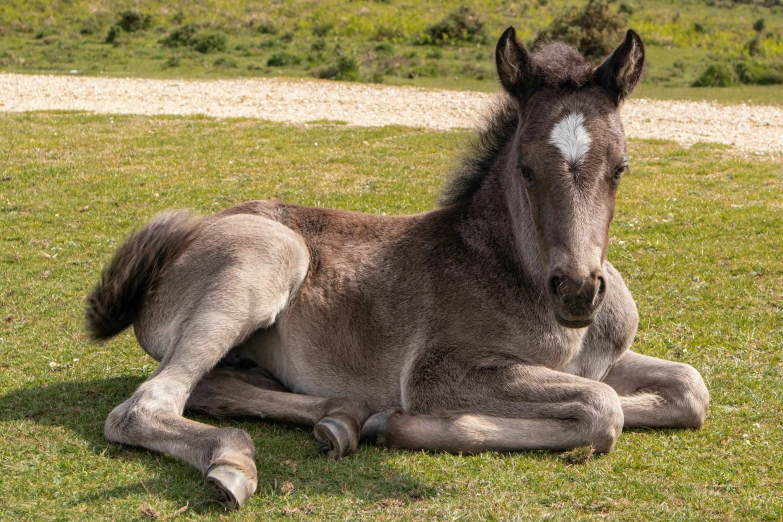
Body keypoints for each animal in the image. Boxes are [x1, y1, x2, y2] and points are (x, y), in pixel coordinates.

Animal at [86, 25, 712, 508]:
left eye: (621, 167)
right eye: (527, 168)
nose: (578, 291)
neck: (514, 271)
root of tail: (175, 253)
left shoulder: (604, 359)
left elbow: (688, 390)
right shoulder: (440, 372)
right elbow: (603, 410)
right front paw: (413, 426)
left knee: (215, 386)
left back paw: (343, 419)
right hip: (271, 256)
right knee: (144, 406)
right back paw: (236, 461)